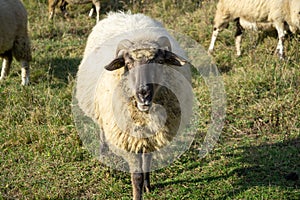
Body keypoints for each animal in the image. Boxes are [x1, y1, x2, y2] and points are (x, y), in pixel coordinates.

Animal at [74, 11, 192, 199]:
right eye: (128, 64)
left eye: (159, 62)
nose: (143, 93)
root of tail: (122, 14)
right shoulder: (128, 139)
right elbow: (136, 177)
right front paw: (138, 192)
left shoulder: (151, 135)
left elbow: (148, 162)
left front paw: (148, 185)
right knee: (101, 127)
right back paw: (103, 150)